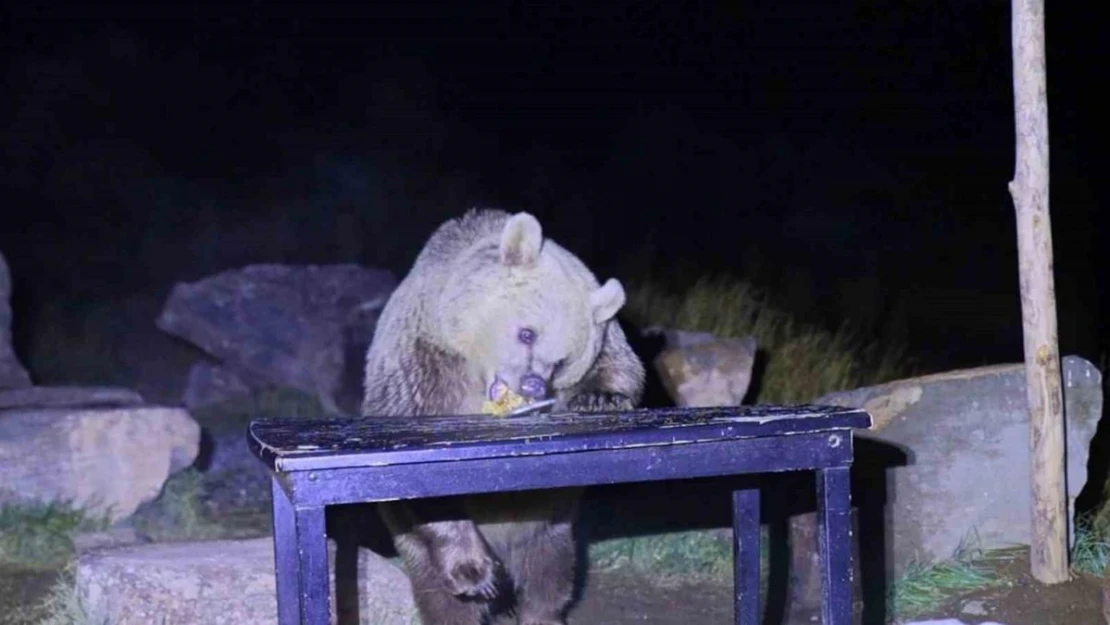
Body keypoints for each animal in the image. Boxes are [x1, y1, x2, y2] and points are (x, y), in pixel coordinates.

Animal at [359, 209, 648, 625]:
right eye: (527, 333)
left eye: (561, 361)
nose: (532, 385)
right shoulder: (422, 366)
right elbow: (425, 487)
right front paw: (473, 572)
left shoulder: (607, 338)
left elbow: (622, 367)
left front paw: (601, 397)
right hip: (413, 543)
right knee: (440, 595)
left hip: (549, 524)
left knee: (550, 573)